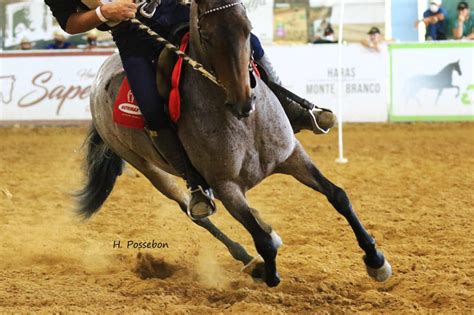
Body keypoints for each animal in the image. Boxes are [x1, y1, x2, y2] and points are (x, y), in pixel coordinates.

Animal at [80, 0, 392, 288]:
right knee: (194, 211)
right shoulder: (227, 187)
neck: (244, 122)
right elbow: (262, 241)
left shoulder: (292, 155)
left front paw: (376, 261)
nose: (243, 101)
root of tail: (98, 80)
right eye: (206, 35)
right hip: (148, 169)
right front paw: (268, 273)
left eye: (248, 29)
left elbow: (338, 196)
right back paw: (246, 255)